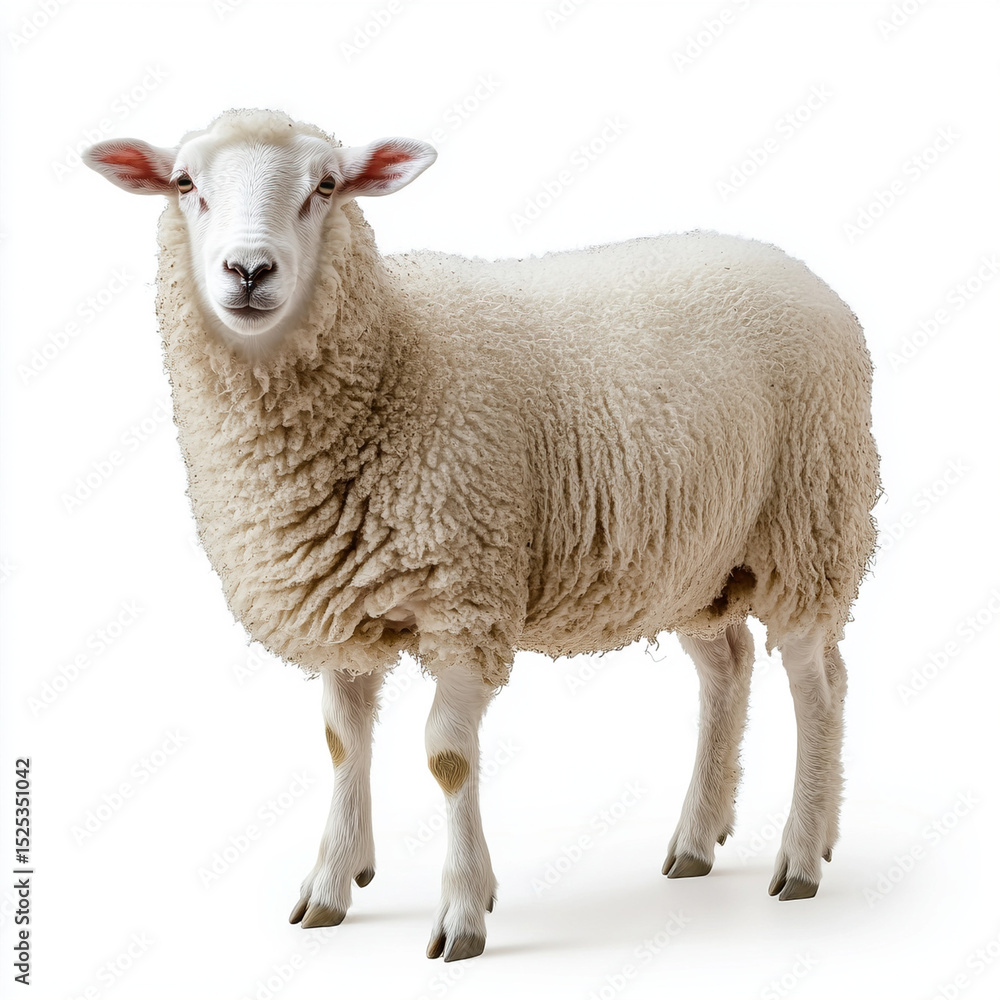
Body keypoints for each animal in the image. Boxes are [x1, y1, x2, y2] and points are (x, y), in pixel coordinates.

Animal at [84, 107, 880, 963]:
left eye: (325, 186)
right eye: (185, 183)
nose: (249, 270)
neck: (392, 358)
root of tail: (798, 269)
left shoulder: (465, 599)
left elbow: (447, 757)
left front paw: (464, 912)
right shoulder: (340, 603)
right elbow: (341, 743)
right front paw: (331, 885)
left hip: (809, 524)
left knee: (816, 682)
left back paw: (802, 855)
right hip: (695, 560)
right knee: (728, 667)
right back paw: (699, 841)